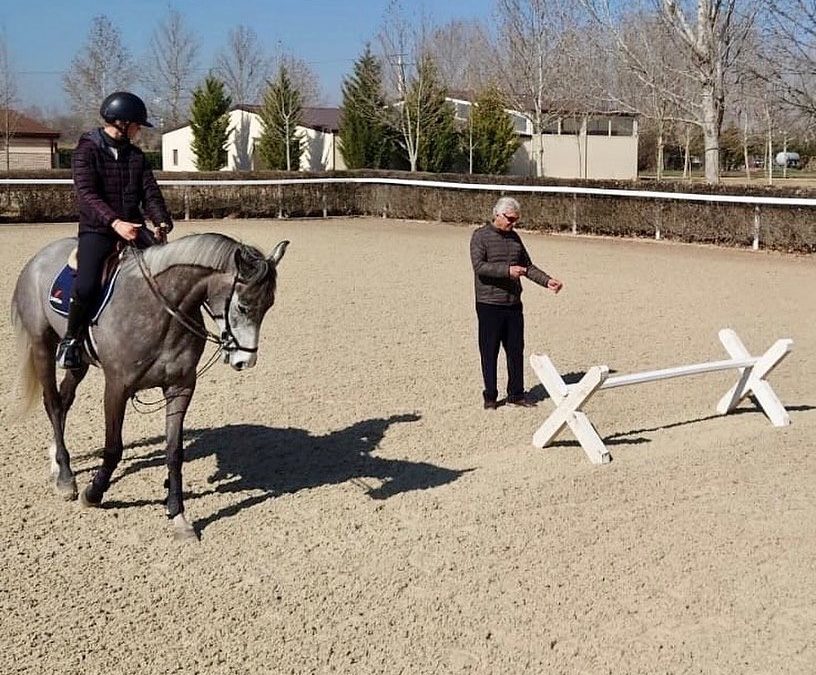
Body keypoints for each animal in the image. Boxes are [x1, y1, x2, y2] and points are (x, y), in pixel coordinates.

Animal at [11, 235, 288, 540]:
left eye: (269, 306)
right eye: (242, 306)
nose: (245, 361)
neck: (160, 310)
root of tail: (39, 258)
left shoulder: (180, 387)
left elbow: (174, 452)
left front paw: (178, 514)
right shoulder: (117, 387)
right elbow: (113, 448)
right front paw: (93, 494)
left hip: (79, 362)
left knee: (64, 400)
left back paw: (56, 461)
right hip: (42, 347)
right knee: (52, 402)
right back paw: (65, 477)